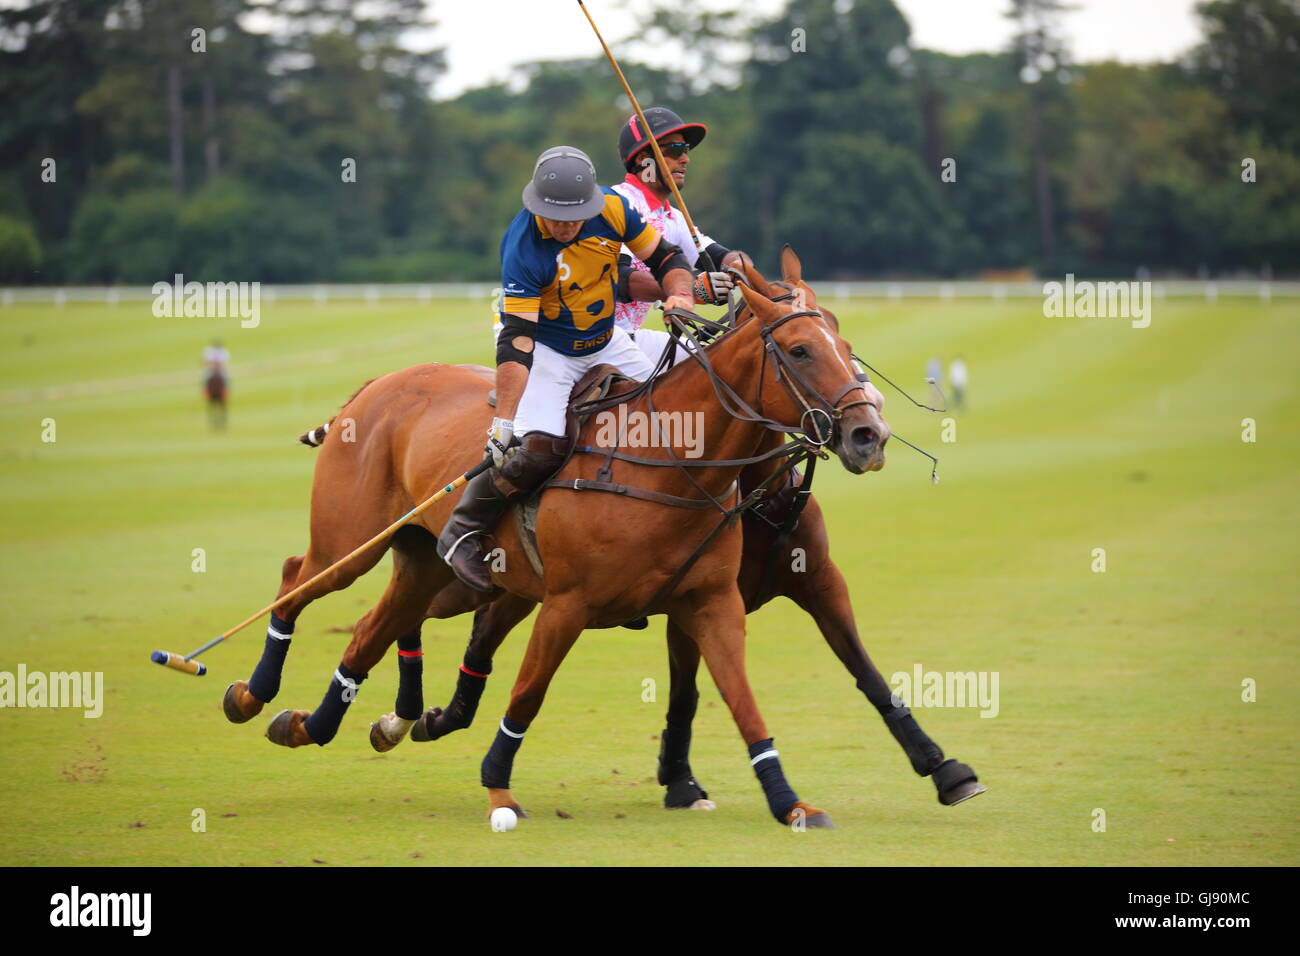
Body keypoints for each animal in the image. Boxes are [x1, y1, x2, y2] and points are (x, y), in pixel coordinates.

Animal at [223, 273, 889, 827]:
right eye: (800, 350)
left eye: (846, 344)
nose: (870, 434)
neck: (670, 458)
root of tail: (373, 385)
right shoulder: (567, 604)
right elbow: (527, 693)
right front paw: (498, 790)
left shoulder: (709, 603)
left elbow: (740, 699)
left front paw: (790, 803)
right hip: (352, 542)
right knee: (297, 580)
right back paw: (252, 694)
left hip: (421, 562)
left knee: (369, 630)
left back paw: (311, 724)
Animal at [377, 247, 982, 806]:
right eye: (800, 350)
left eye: (848, 347)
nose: (869, 434)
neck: (758, 496)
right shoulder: (682, 605)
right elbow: (686, 692)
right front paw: (681, 779)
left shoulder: (812, 582)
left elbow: (865, 670)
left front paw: (943, 766)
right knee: (418, 608)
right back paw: (404, 709)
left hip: (515, 584)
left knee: (469, 631)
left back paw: (429, 714)